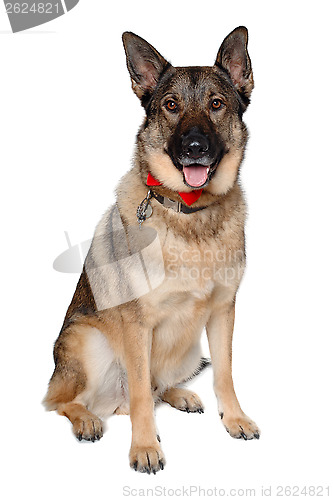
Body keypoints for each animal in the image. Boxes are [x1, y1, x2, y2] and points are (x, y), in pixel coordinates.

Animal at [42, 26, 260, 472]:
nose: (194, 148)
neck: (189, 214)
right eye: (171, 106)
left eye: (216, 104)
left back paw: (180, 394)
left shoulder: (223, 312)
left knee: (160, 386)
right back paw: (87, 419)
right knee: (68, 401)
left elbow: (225, 373)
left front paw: (234, 418)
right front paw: (144, 447)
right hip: (86, 340)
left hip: (190, 349)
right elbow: (142, 392)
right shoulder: (136, 325)